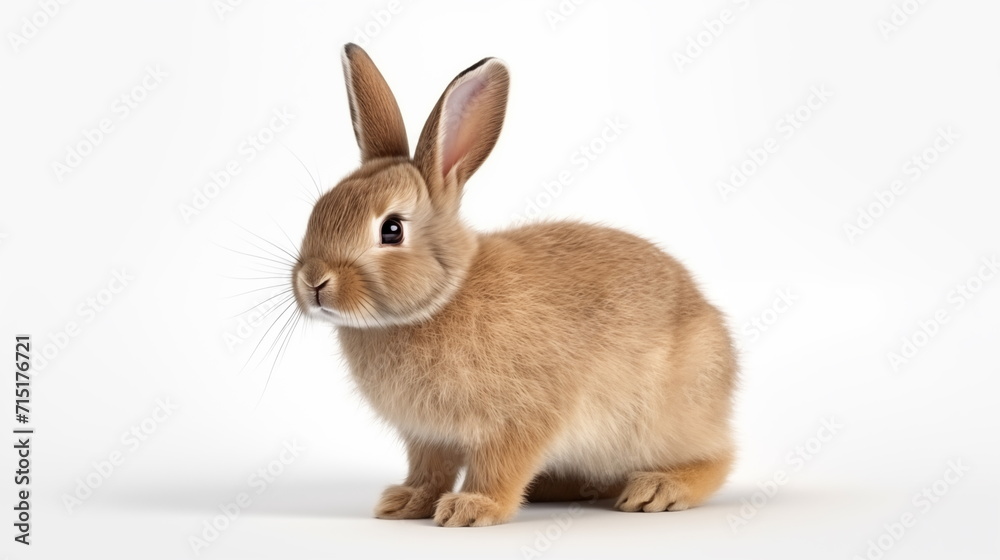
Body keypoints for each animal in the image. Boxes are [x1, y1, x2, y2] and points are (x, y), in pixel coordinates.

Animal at [290, 43, 737, 527]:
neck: (442, 299)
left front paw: (471, 508)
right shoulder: (427, 438)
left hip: (663, 421)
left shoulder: (520, 420)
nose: (314, 282)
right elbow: (429, 471)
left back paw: (658, 489)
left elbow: (500, 466)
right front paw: (405, 503)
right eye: (320, 209)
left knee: (719, 458)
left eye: (392, 230)